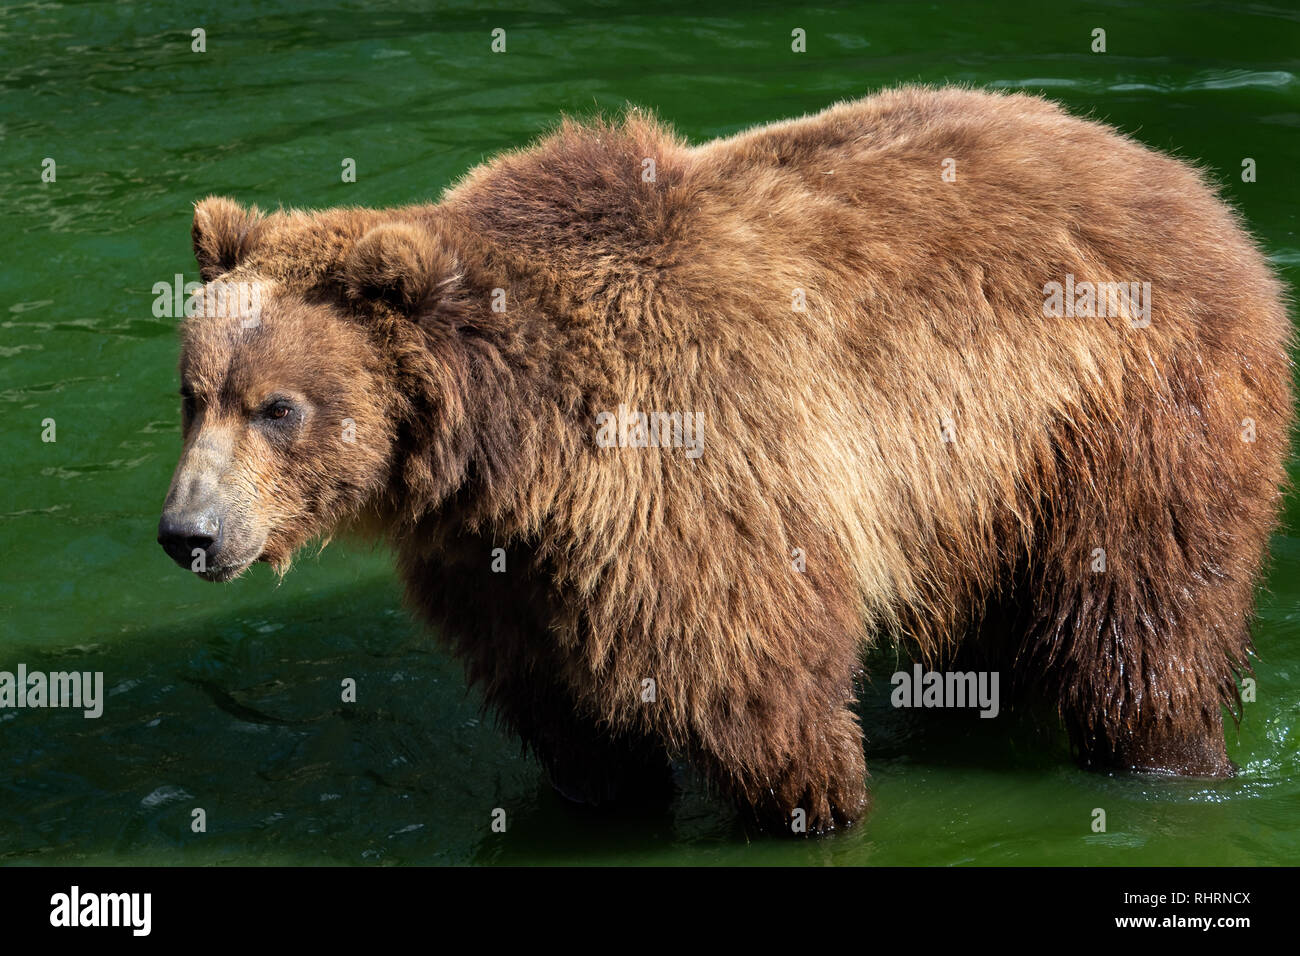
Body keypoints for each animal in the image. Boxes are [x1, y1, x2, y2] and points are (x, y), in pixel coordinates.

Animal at [159, 85, 1294, 833]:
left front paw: (813, 802)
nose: (188, 532)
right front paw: (603, 795)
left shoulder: (698, 480)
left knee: (1140, 626)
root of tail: (1188, 183)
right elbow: (570, 719)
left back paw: (1168, 758)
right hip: (989, 489)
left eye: (278, 407)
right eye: (191, 393)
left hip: (1129, 420)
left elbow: (758, 692)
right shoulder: (509, 565)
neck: (519, 447)